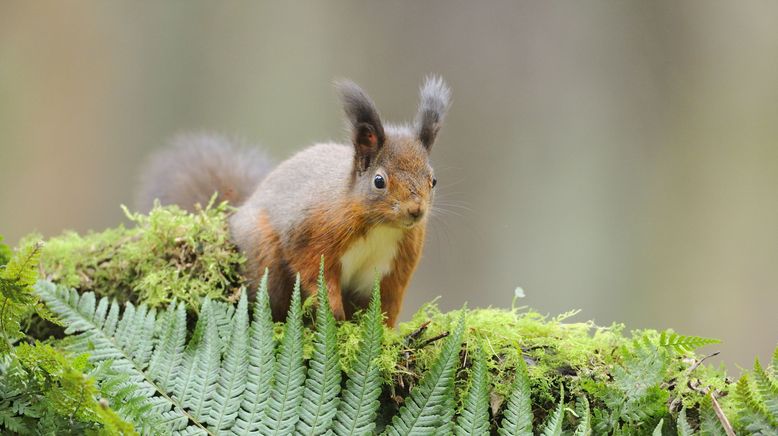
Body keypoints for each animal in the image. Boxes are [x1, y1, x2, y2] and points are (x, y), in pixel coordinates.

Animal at [135, 76, 448, 326]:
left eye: (433, 180)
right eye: (379, 181)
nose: (416, 210)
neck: (380, 227)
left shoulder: (394, 267)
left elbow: (386, 303)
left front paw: (382, 334)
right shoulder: (314, 234)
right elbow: (315, 275)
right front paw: (335, 318)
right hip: (265, 257)